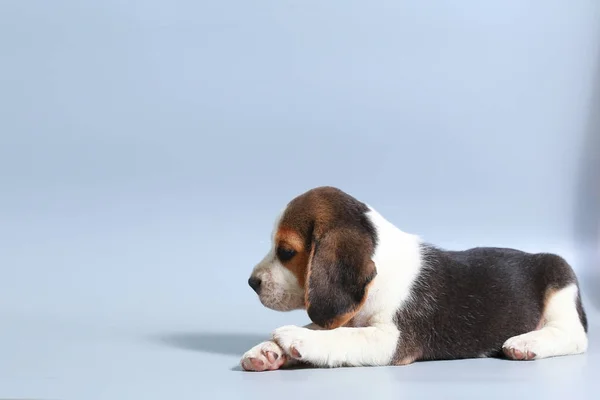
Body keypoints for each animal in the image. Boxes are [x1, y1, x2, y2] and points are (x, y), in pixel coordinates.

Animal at [239, 186, 584, 370]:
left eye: (286, 251)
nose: (252, 282)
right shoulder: (348, 316)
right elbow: (326, 327)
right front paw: (267, 351)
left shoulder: (391, 339)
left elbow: (339, 337)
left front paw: (295, 338)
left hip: (560, 283)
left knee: (574, 337)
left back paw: (525, 343)